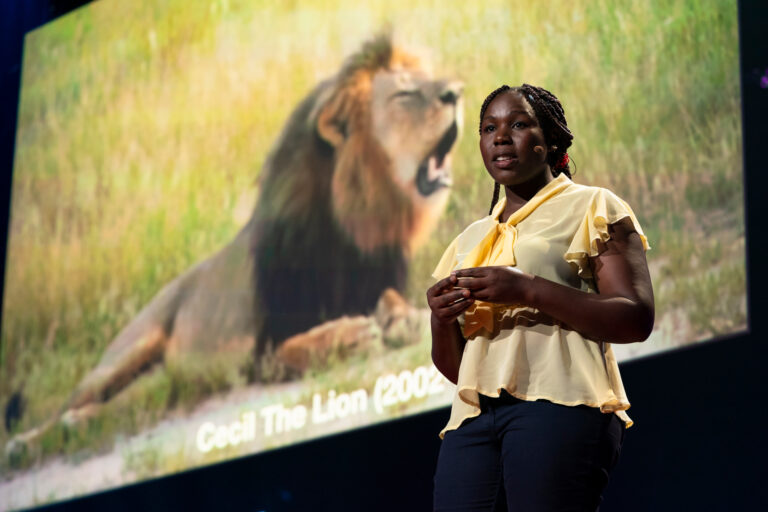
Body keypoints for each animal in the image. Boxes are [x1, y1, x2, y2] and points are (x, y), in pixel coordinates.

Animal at [7, 34, 462, 446]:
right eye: (404, 93)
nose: (456, 91)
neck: (355, 223)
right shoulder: (258, 351)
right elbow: (292, 349)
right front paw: (348, 336)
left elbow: (391, 298)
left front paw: (404, 317)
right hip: (124, 355)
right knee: (66, 407)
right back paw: (27, 442)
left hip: (159, 382)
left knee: (130, 402)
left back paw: (82, 425)